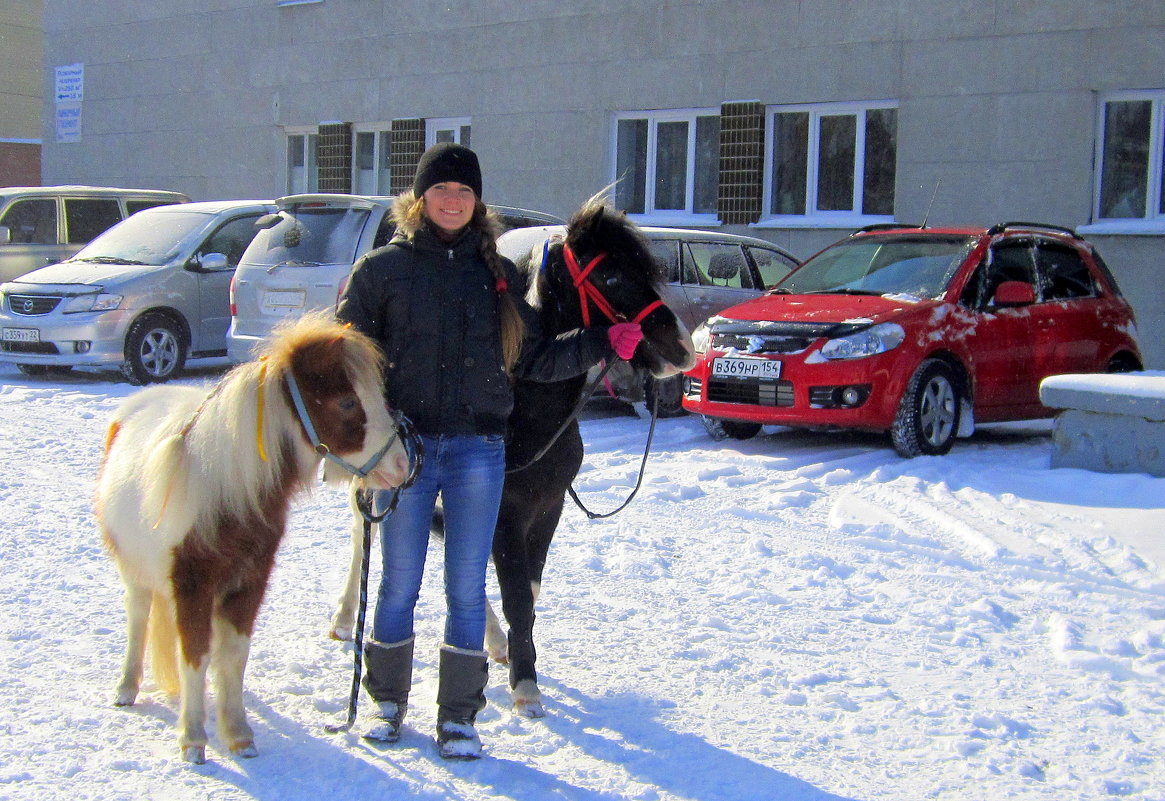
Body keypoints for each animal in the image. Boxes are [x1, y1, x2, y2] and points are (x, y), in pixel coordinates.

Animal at [95, 312, 414, 763]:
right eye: (348, 402)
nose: (401, 464)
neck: (225, 491)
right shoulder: (190, 584)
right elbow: (194, 653)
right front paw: (193, 739)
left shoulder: (249, 581)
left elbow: (233, 653)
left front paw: (237, 732)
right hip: (134, 569)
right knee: (139, 616)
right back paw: (127, 688)